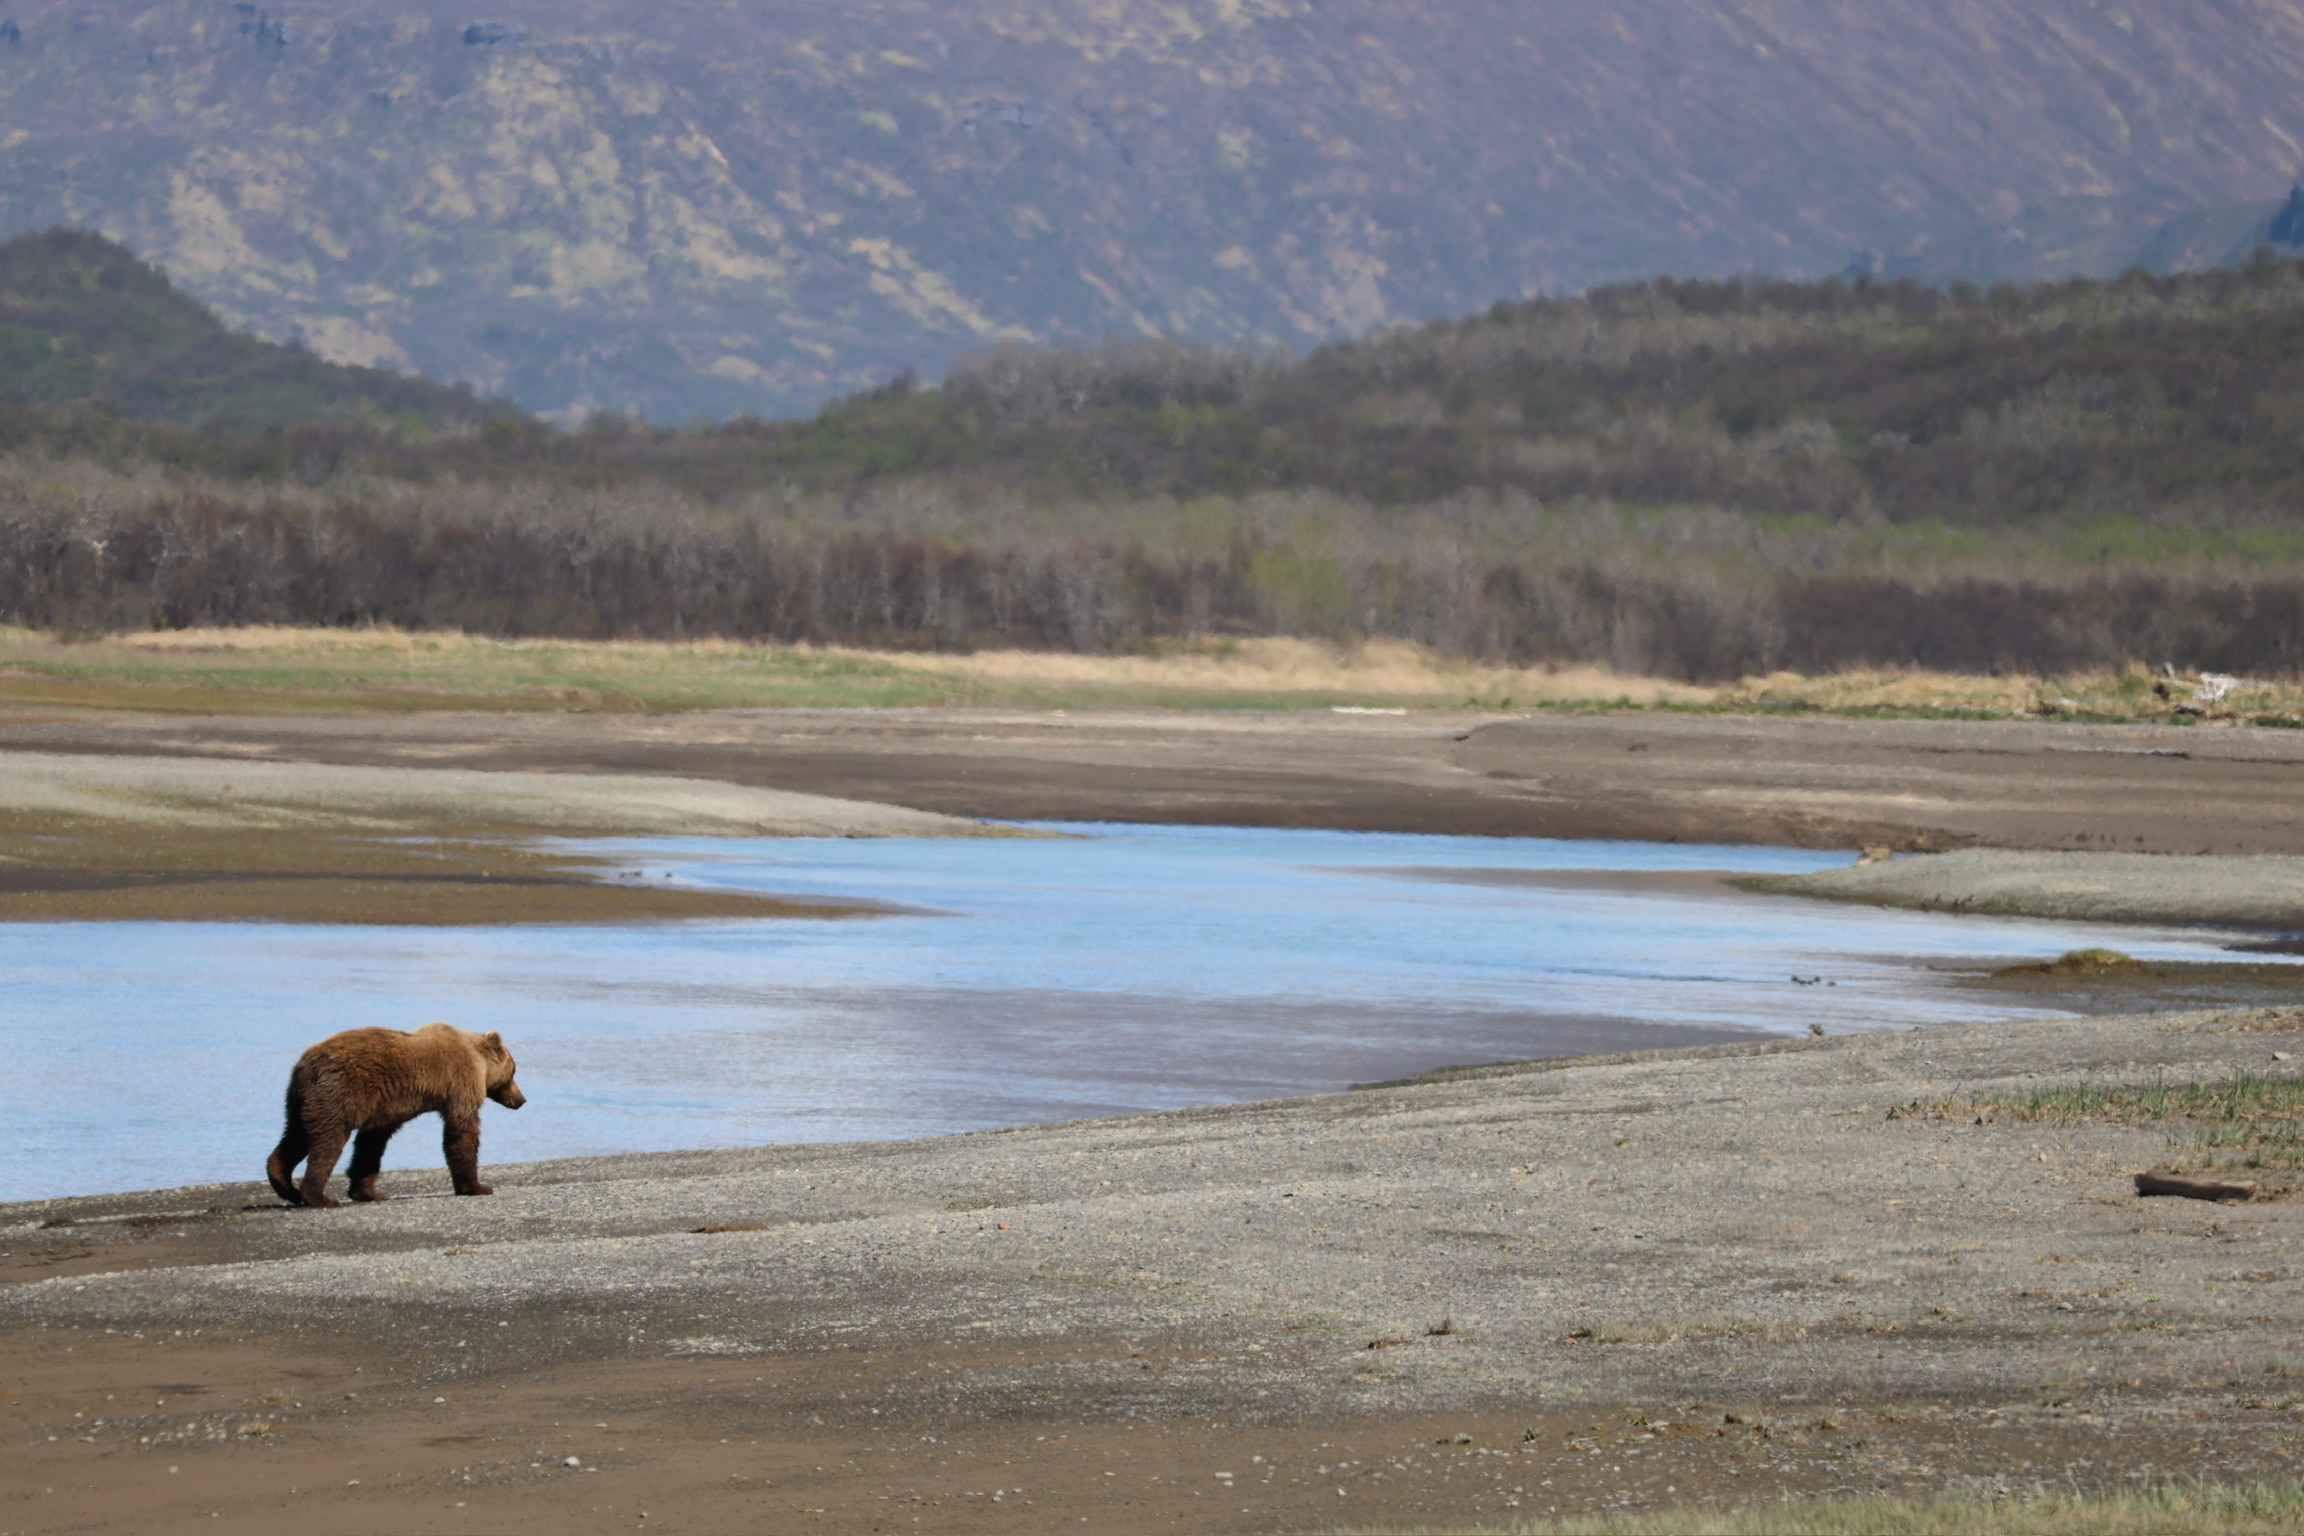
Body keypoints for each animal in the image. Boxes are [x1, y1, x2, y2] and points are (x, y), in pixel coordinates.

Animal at [265, 1023, 525, 1208]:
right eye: (513, 1071)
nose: (521, 1100)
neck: (479, 1060)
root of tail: (306, 1064)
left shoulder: (383, 1109)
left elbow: (370, 1145)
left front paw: (368, 1191)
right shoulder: (460, 1084)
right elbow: (461, 1132)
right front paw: (477, 1186)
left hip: (301, 1099)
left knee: (296, 1135)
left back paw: (285, 1186)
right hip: (338, 1094)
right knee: (327, 1142)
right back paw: (320, 1198)